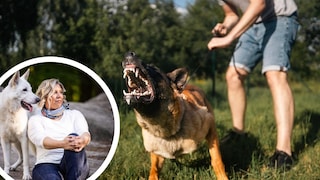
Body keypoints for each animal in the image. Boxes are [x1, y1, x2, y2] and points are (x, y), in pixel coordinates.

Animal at [122, 52, 228, 180]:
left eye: (153, 68)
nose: (129, 53)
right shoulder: (157, 154)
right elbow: (154, 170)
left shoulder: (210, 126)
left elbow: (216, 159)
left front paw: (222, 176)